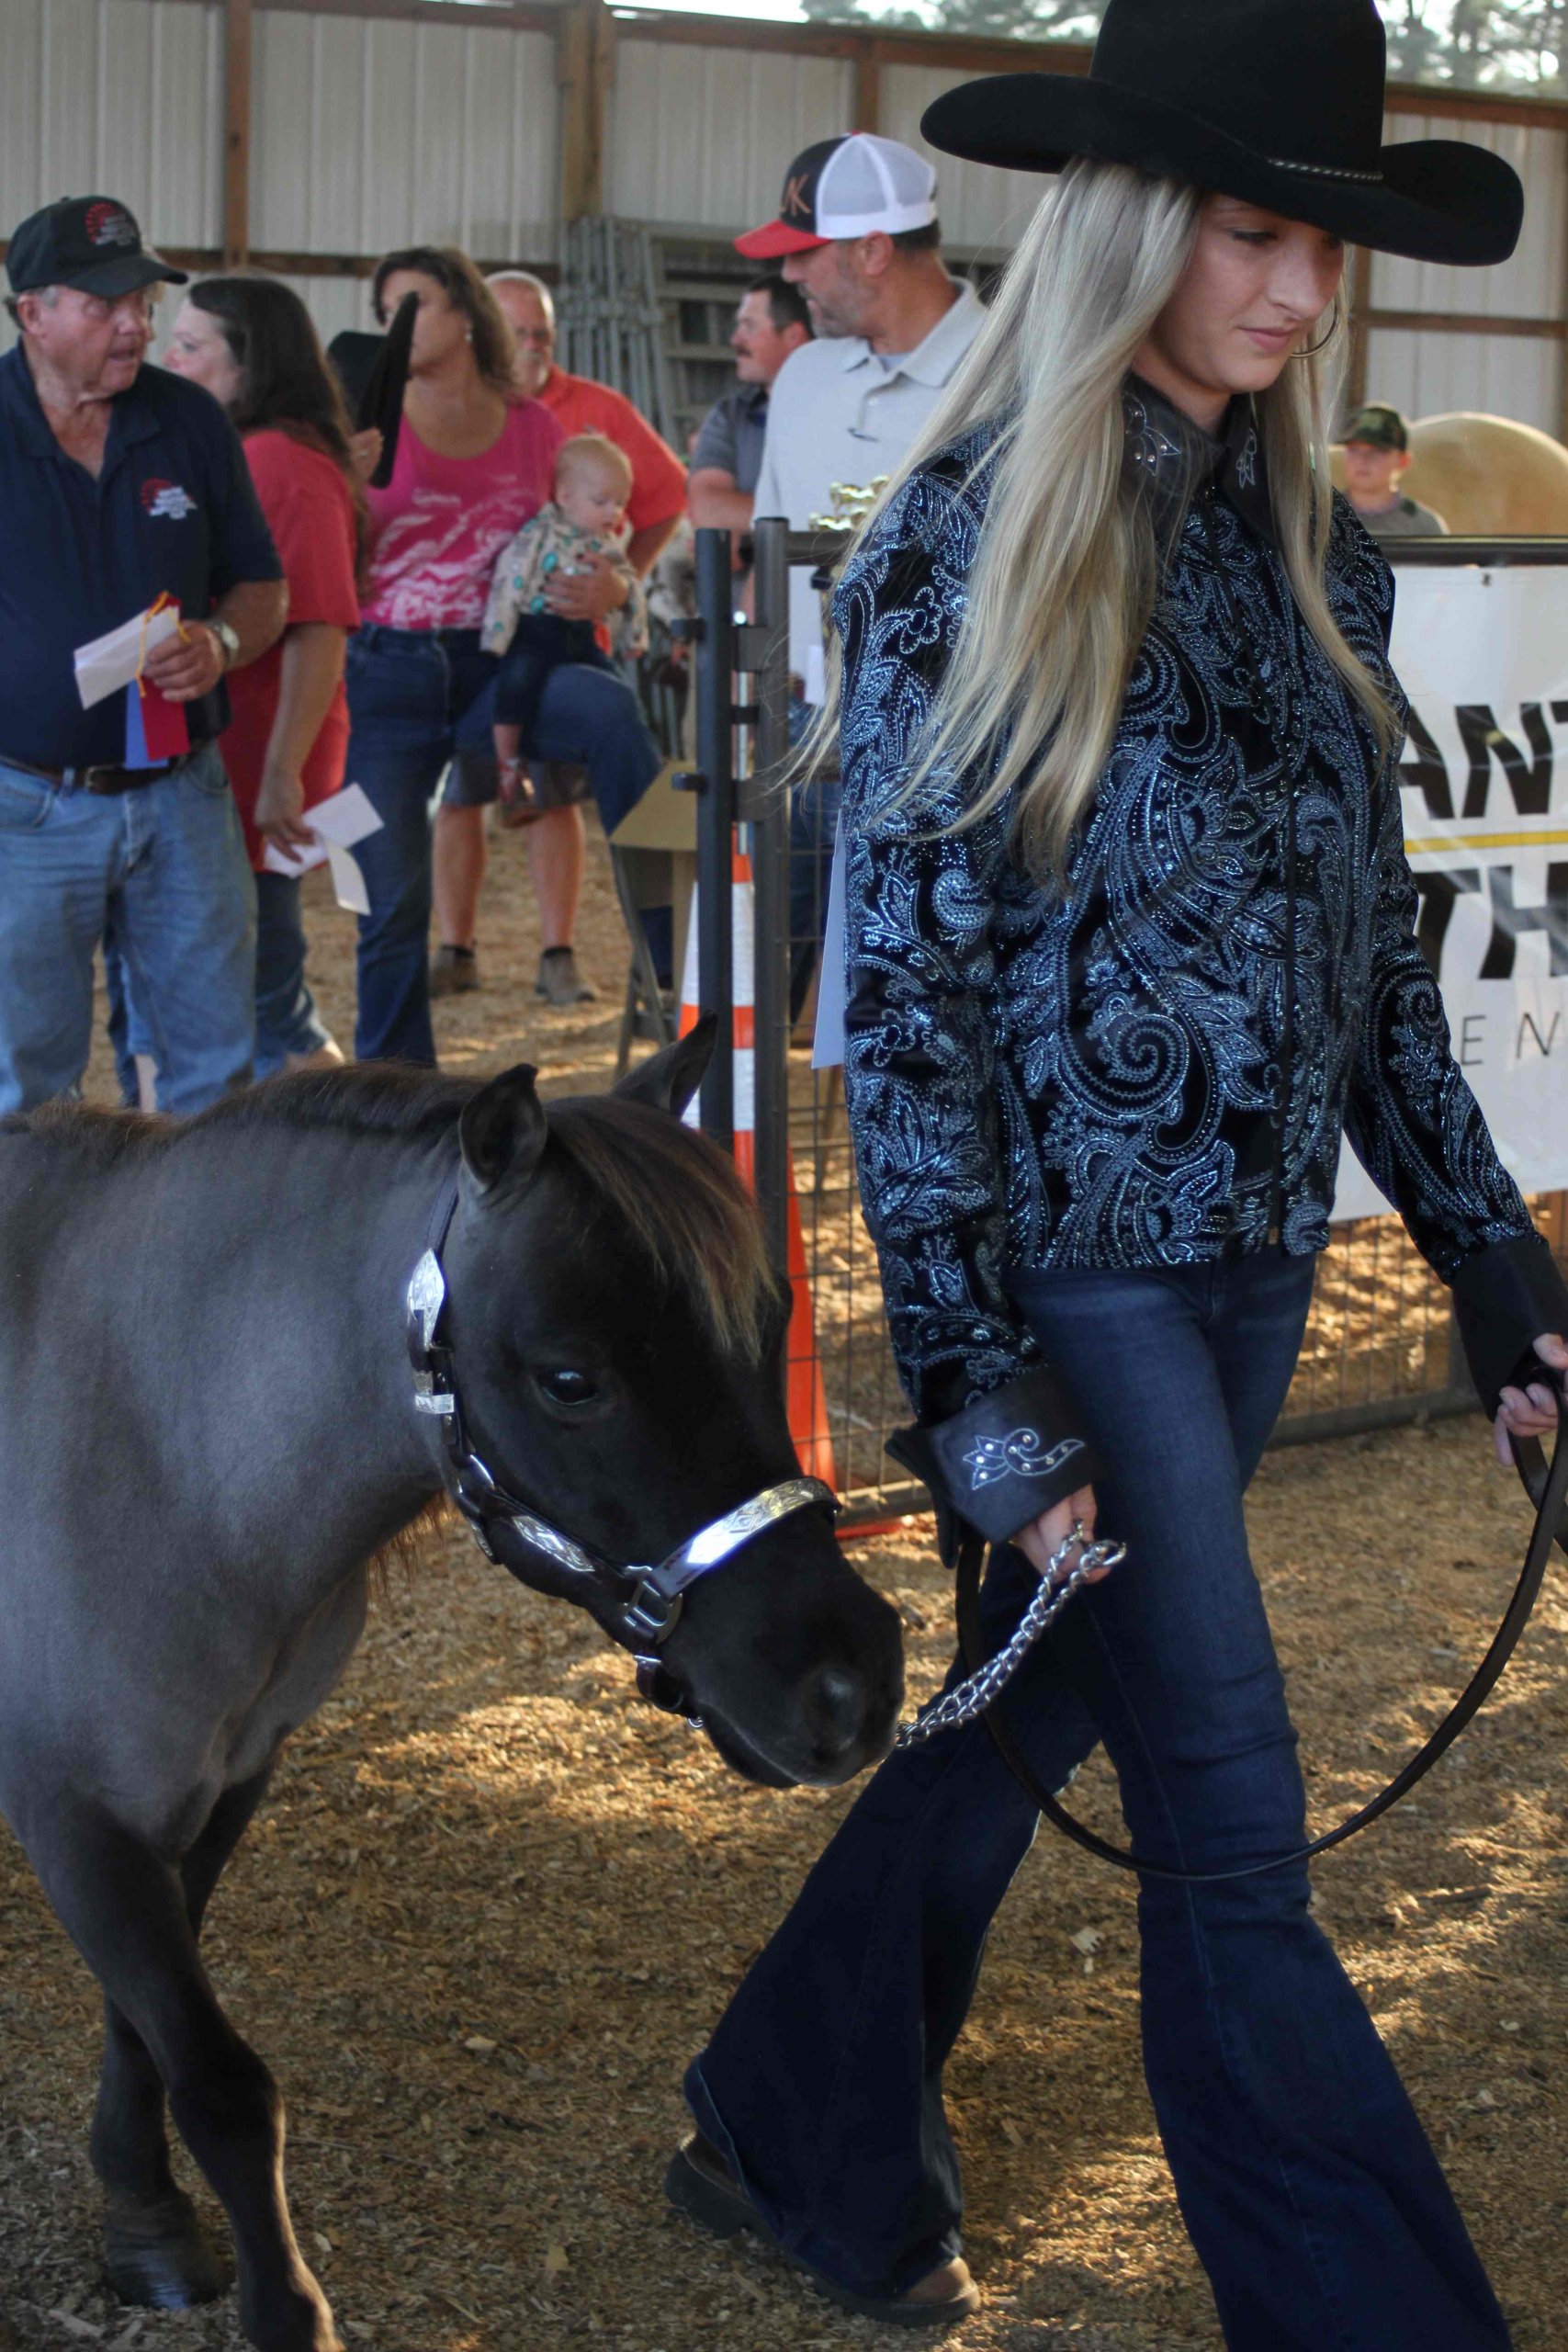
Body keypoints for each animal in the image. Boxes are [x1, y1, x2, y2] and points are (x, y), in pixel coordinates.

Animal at [0, 1035, 907, 2352]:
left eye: (768, 1324)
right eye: (570, 1378)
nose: (848, 1682)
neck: (147, 1442)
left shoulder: (215, 1782)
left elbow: (144, 2026)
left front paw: (144, 2217)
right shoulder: (73, 1813)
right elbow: (220, 2080)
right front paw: (283, 2309)